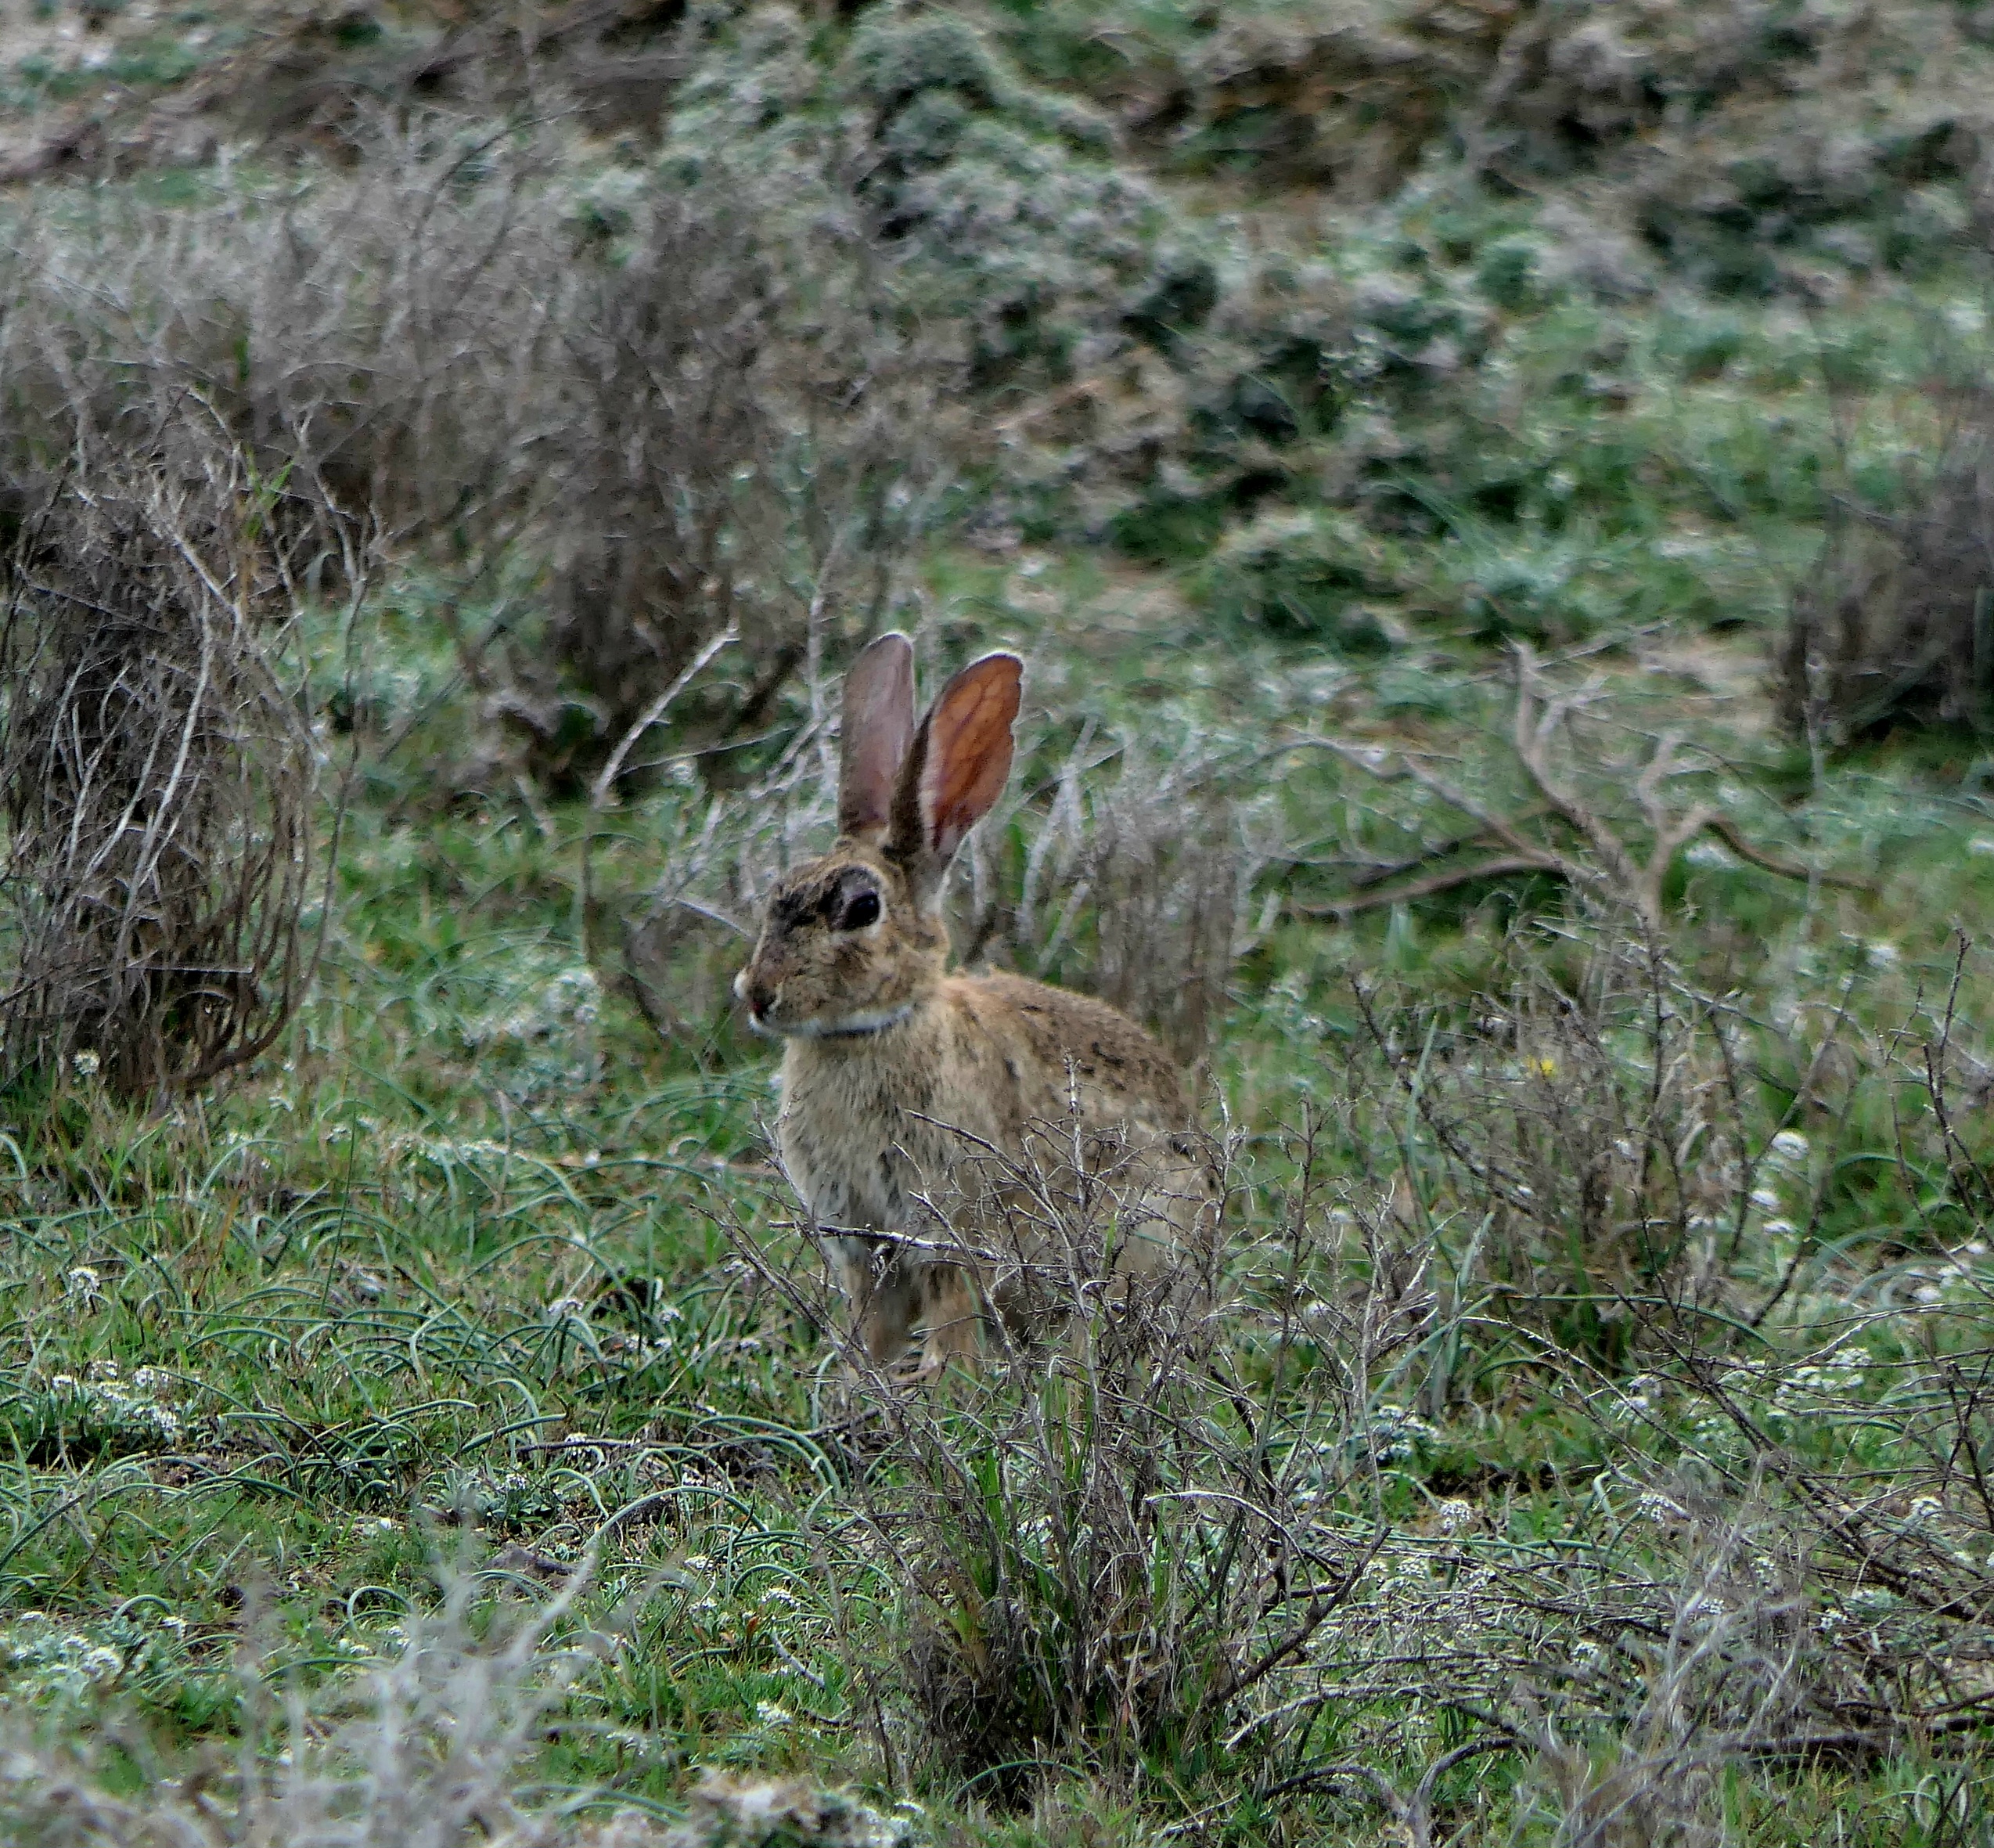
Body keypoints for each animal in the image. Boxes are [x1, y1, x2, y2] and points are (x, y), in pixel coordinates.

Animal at [737, 638, 1212, 1371]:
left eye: (862, 909)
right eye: (778, 891)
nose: (758, 994)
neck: (867, 1033)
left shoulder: (946, 1232)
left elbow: (952, 1326)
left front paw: (940, 1382)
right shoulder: (864, 1244)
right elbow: (872, 1330)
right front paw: (859, 1381)